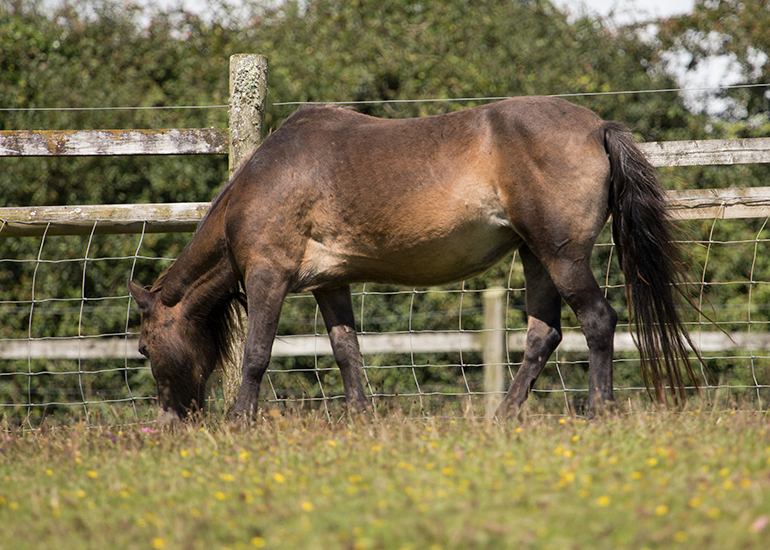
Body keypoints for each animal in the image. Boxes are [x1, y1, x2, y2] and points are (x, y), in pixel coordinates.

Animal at [128, 96, 701, 424]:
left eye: (143, 347)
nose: (171, 424)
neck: (265, 180)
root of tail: (597, 126)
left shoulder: (269, 276)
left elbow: (255, 355)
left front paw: (239, 423)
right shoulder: (329, 284)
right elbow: (347, 353)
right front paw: (361, 422)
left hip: (562, 255)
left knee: (599, 320)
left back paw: (598, 413)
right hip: (535, 256)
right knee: (544, 335)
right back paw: (501, 420)